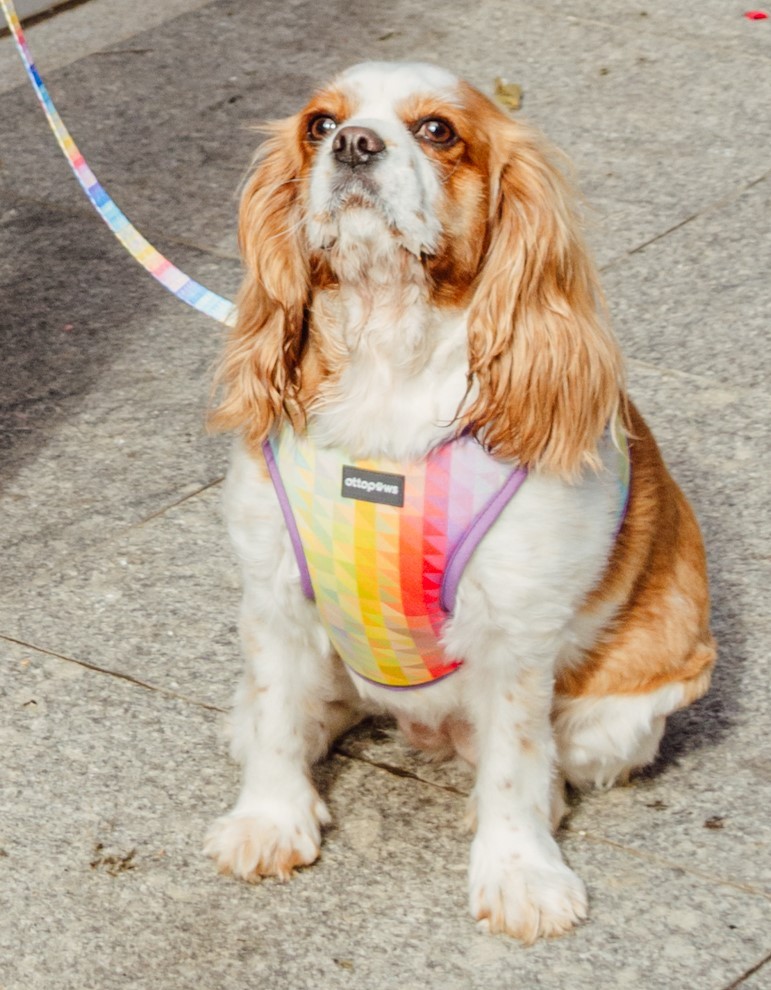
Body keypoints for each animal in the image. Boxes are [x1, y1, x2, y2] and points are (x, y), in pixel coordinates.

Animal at [201, 62, 716, 944]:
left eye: (437, 130)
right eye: (318, 124)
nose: (353, 144)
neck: (385, 360)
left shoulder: (514, 628)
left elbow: (514, 762)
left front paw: (518, 874)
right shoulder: (272, 591)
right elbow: (274, 714)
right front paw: (270, 819)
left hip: (620, 715)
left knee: (542, 758)